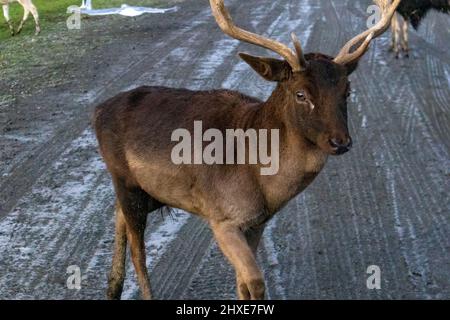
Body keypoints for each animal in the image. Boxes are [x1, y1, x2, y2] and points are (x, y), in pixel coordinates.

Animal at [93, 0, 400, 300]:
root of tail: (97, 111)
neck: (264, 183)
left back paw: (112, 289)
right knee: (138, 252)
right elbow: (255, 281)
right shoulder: (223, 218)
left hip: (153, 191)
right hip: (124, 179)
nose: (340, 142)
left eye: (347, 91)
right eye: (300, 94)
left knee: (118, 215)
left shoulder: (257, 222)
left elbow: (242, 283)